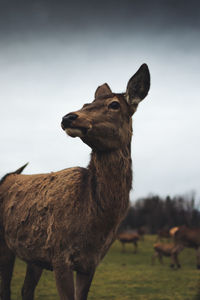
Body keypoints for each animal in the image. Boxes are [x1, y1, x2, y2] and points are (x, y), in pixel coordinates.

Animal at [0, 63, 150, 300]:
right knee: (5, 289)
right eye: (85, 104)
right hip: (5, 244)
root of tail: (7, 176)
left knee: (26, 289)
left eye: (114, 104)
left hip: (35, 254)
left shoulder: (90, 263)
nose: (68, 117)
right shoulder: (60, 255)